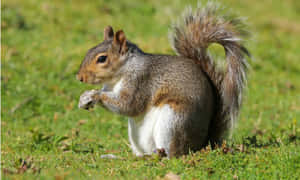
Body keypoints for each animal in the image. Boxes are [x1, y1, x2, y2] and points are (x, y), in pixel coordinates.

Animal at [76, 2, 250, 158]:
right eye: (89, 50)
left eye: (102, 59)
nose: (79, 77)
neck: (120, 73)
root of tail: (203, 143)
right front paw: (84, 98)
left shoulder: (140, 81)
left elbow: (128, 105)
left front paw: (94, 96)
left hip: (174, 120)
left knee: (173, 153)